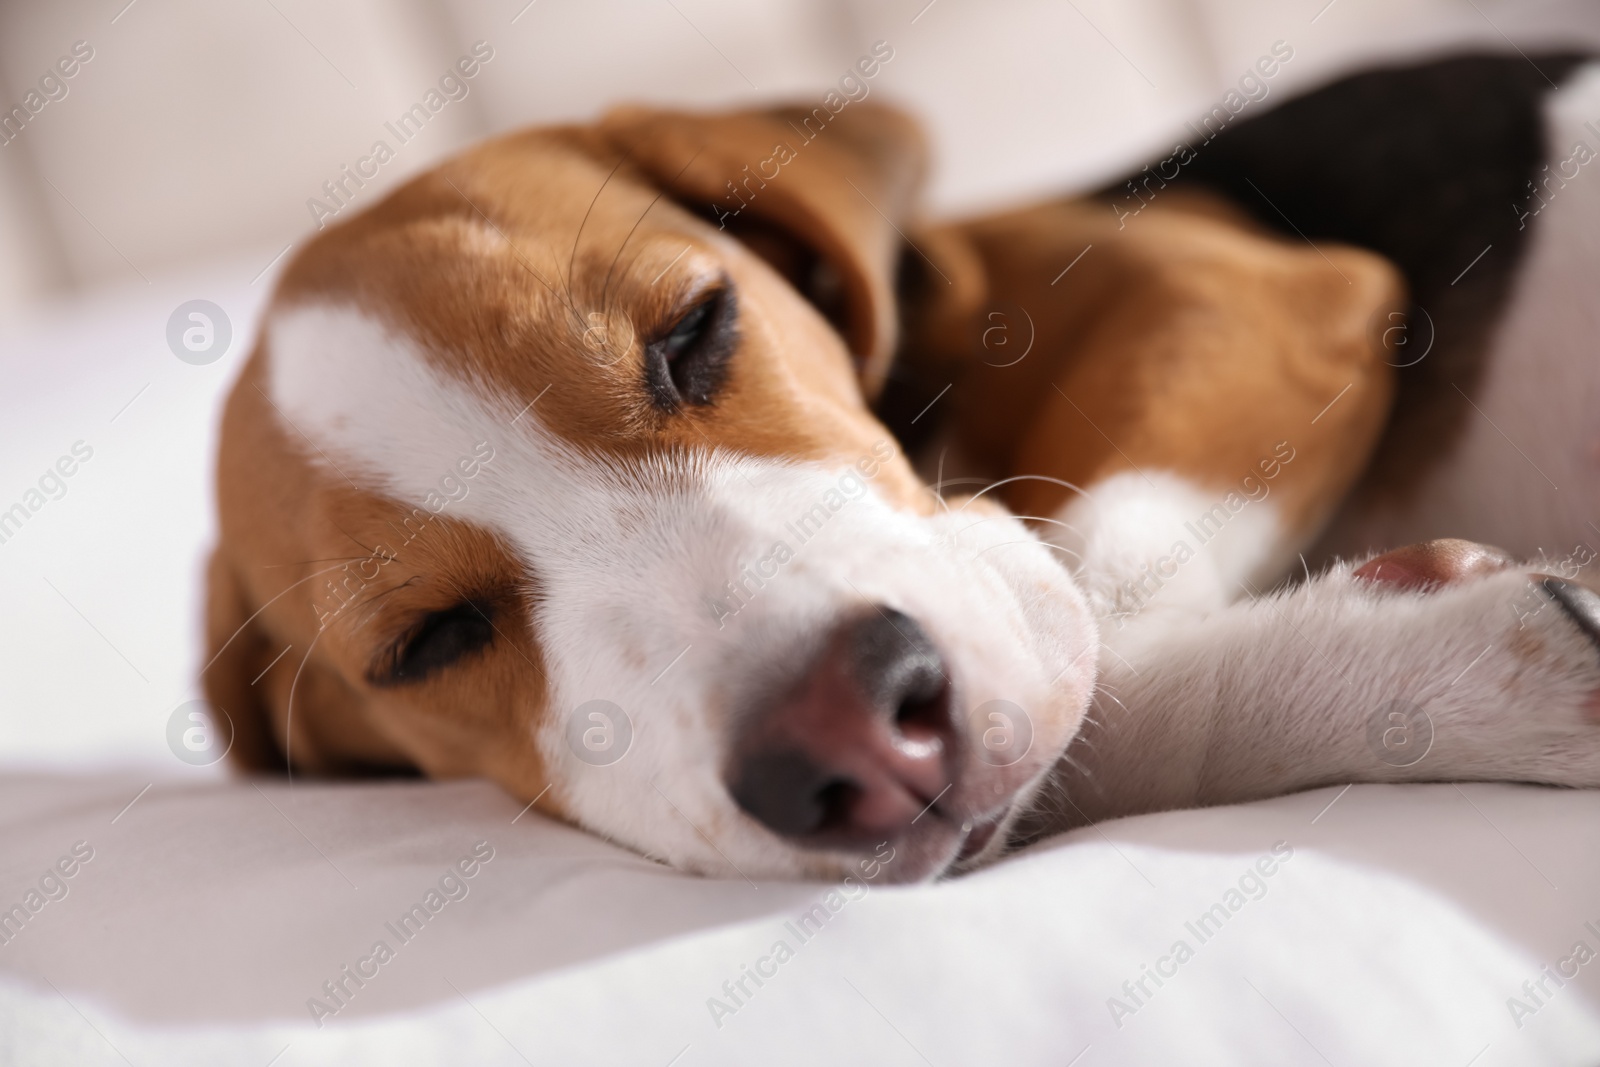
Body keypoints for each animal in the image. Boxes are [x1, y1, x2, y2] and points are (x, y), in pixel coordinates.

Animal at [203, 51, 1600, 883]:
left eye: (695, 332)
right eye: (423, 644)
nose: (860, 740)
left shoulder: (1261, 299)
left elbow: (1090, 609)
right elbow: (1097, 692)